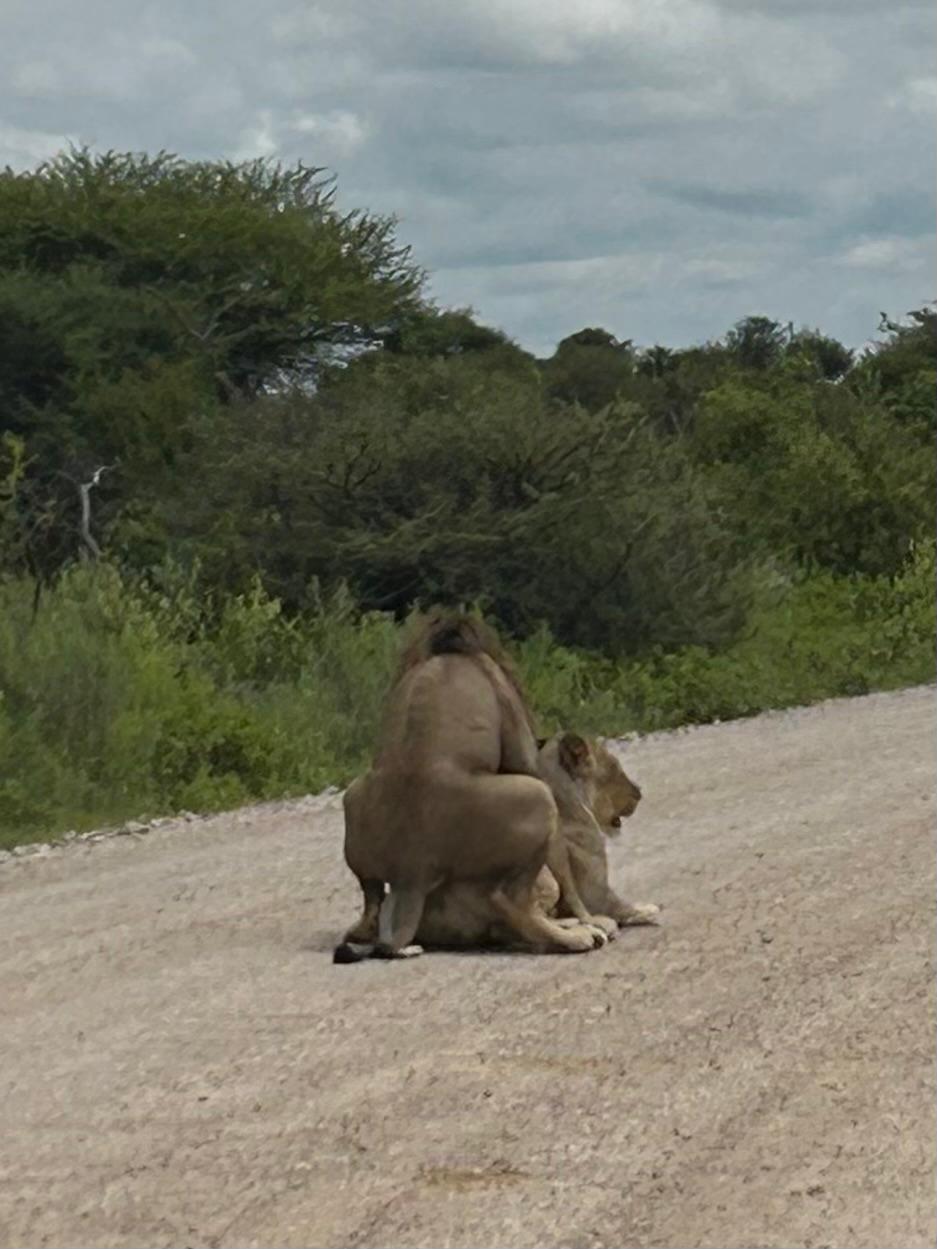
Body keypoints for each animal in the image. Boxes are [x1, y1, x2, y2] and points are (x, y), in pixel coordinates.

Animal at [334, 611, 618, 962]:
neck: (450, 648)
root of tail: (412, 872)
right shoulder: (514, 725)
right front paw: (589, 918)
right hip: (536, 798)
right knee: (511, 902)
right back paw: (576, 938)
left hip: (353, 797)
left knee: (371, 902)